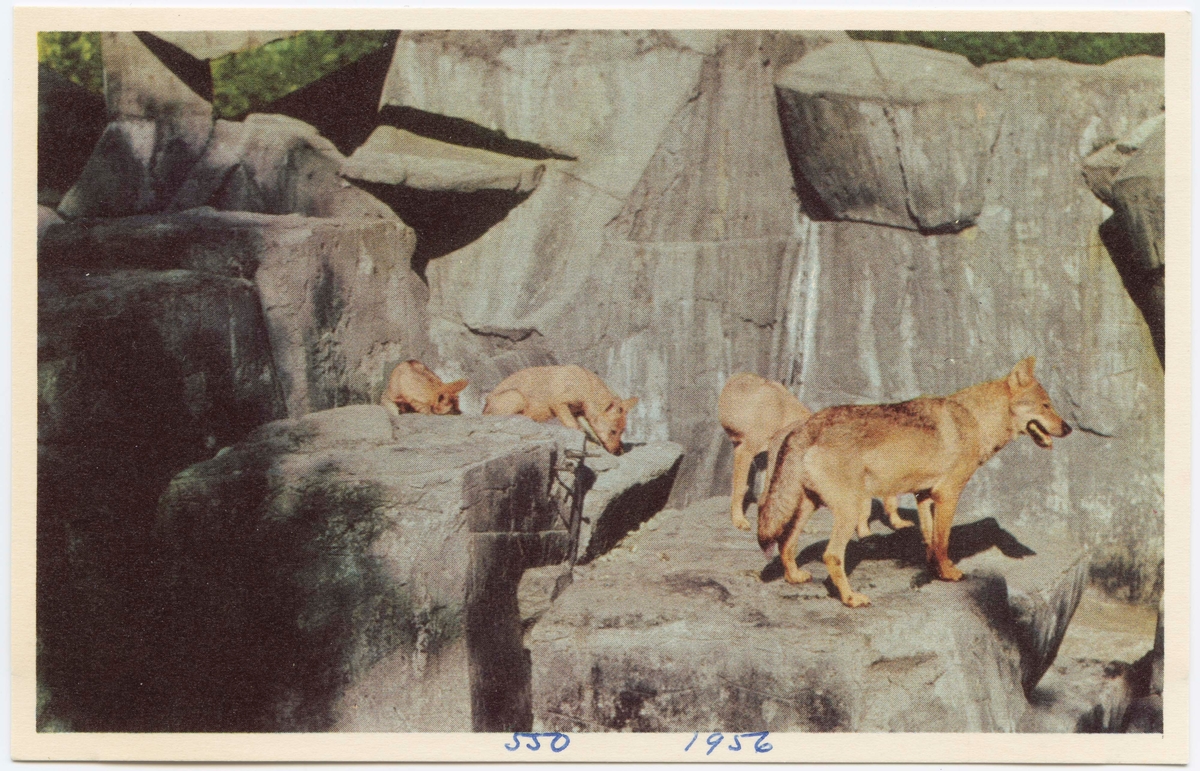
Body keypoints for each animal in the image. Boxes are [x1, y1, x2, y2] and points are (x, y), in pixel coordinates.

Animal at [484, 365, 643, 453]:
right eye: (613, 431)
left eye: (622, 432)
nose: (618, 452)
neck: (586, 386)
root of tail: (484, 407)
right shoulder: (558, 403)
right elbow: (576, 428)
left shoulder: (578, 412)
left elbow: (590, 432)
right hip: (517, 396)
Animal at [753, 355, 1075, 605]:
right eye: (1046, 405)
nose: (1069, 428)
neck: (975, 419)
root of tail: (806, 425)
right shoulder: (948, 495)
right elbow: (943, 541)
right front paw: (950, 574)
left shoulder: (924, 496)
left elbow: (931, 541)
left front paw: (935, 571)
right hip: (847, 511)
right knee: (831, 555)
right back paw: (851, 599)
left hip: (809, 506)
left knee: (786, 543)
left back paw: (794, 577)